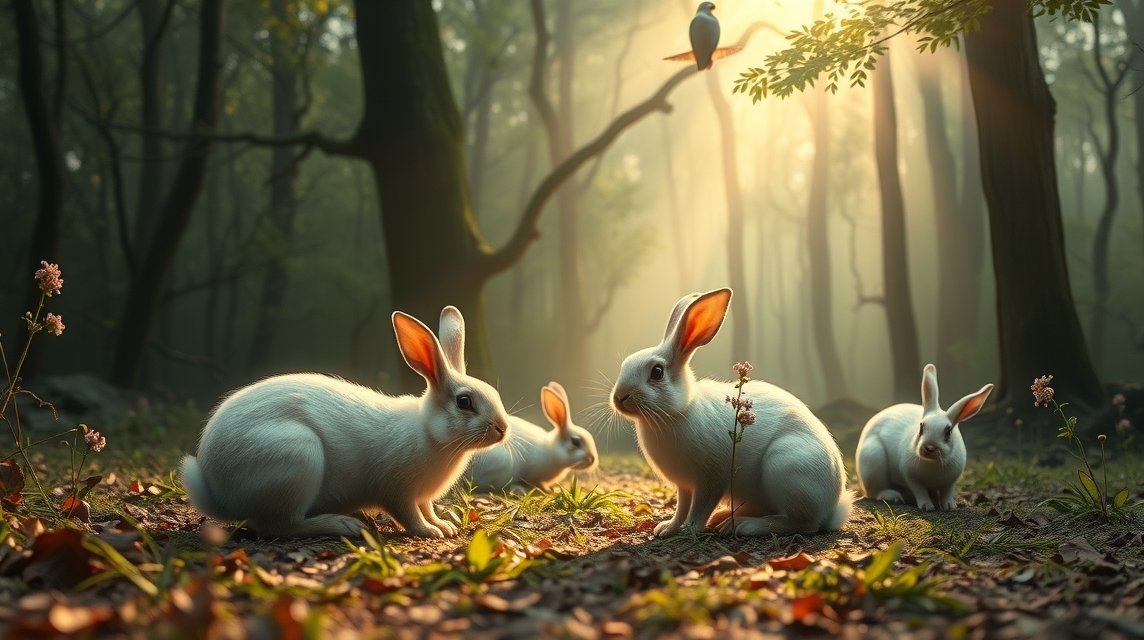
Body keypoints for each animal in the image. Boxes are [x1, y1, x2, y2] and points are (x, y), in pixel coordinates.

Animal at [179, 305, 512, 538]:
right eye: (464, 402)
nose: (502, 428)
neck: (431, 434)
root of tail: (219, 492)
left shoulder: (422, 497)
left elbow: (427, 508)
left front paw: (444, 525)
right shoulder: (396, 491)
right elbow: (408, 515)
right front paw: (429, 531)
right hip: (297, 459)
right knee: (281, 526)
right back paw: (344, 525)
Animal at [609, 288, 852, 537]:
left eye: (657, 372)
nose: (619, 398)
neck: (680, 411)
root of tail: (833, 507)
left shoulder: (712, 478)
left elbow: (700, 507)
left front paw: (689, 530)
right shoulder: (684, 485)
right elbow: (682, 507)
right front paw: (667, 529)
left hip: (787, 467)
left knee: (802, 524)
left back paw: (743, 526)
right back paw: (724, 518)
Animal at [856, 363, 993, 511]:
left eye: (948, 432)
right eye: (921, 427)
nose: (929, 447)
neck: (932, 463)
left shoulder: (950, 481)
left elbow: (946, 493)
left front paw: (949, 506)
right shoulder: (911, 477)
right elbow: (920, 491)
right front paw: (927, 506)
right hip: (872, 462)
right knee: (874, 492)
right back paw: (894, 496)